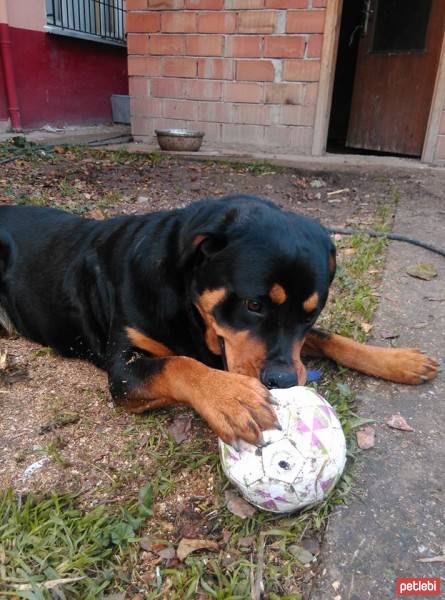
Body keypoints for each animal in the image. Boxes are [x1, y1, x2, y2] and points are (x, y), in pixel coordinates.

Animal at [0, 197, 438, 446]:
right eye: (253, 304)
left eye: (311, 312)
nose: (283, 381)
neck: (184, 298)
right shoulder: (124, 371)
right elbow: (178, 364)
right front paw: (232, 397)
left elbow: (331, 338)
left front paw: (399, 360)